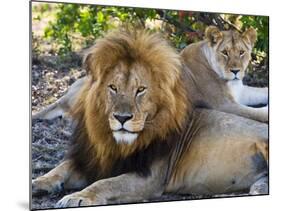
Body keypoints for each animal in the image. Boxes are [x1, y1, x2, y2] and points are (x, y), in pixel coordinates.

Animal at [31, 29, 268, 208]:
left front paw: (77, 197)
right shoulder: (223, 102)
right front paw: (39, 182)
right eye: (225, 53)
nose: (236, 71)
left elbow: (106, 184)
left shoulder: (149, 177)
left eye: (242, 52)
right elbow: (63, 168)